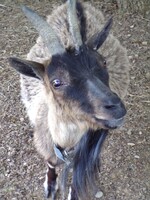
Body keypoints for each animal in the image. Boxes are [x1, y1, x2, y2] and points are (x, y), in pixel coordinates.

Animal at [8, 0, 129, 199]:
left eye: (103, 62)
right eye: (56, 82)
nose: (116, 107)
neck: (65, 145)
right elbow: (50, 164)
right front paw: (50, 185)